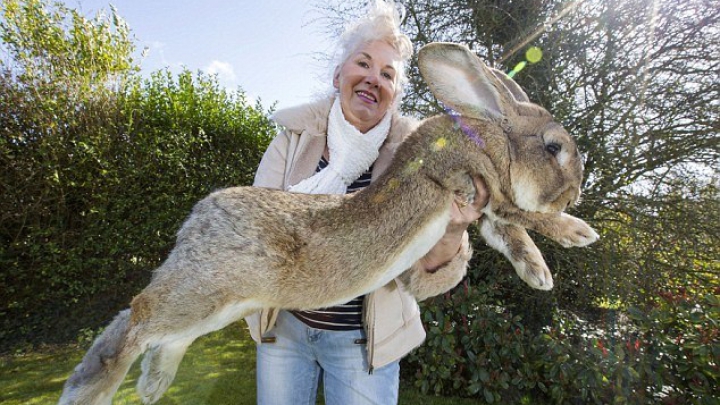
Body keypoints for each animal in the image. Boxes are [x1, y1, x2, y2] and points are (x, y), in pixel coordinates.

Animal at [59, 41, 596, 404]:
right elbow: (524, 215)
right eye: (554, 147)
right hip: (204, 290)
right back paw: (93, 390)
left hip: (220, 304)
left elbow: (510, 234)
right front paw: (578, 233)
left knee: (159, 333)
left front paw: (538, 274)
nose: (577, 191)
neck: (488, 135)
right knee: (136, 319)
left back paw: (151, 384)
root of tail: (196, 221)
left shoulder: (483, 210)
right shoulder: (475, 184)